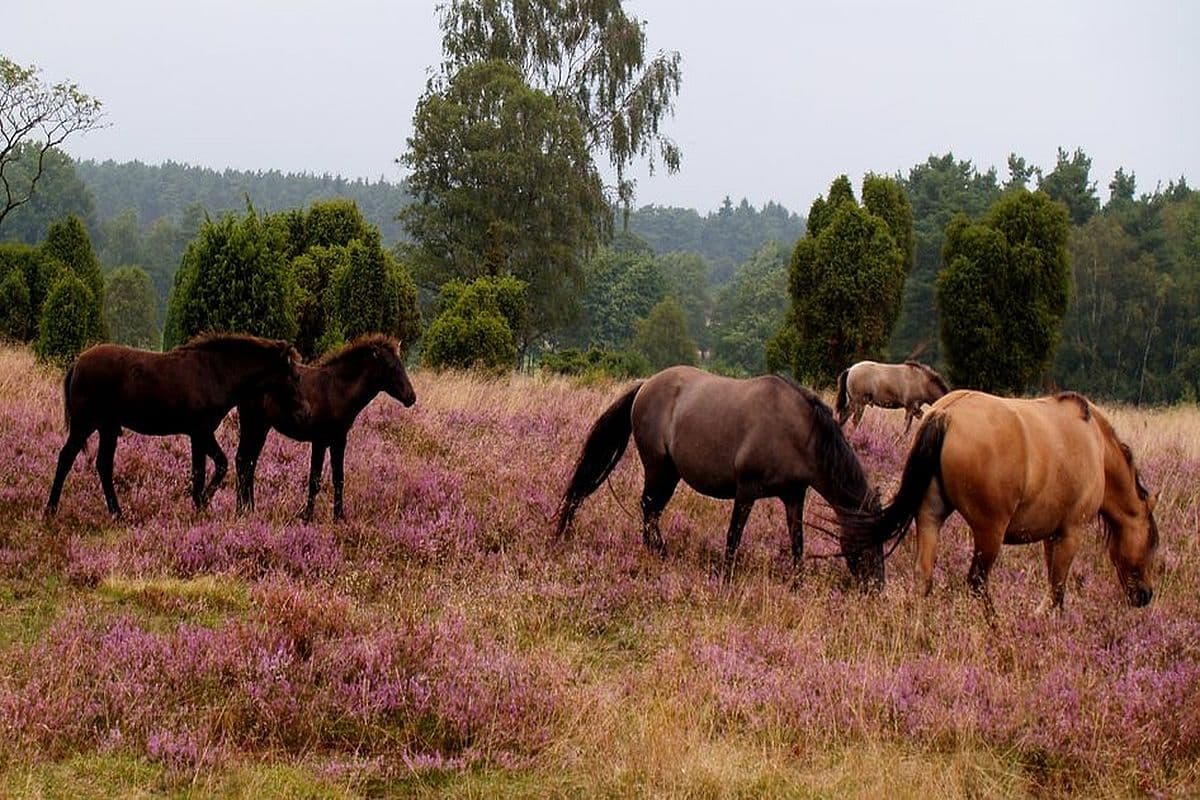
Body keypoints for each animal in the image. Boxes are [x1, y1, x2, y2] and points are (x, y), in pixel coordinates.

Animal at [45, 335, 309, 520]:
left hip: (107, 428)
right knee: (66, 458)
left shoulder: (200, 433)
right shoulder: (201, 431)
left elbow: (206, 468)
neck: (214, 373)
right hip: (84, 424)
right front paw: (202, 502)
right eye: (295, 377)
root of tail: (77, 363)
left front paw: (200, 504)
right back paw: (51, 509)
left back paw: (117, 513)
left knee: (103, 466)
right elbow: (212, 467)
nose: (304, 412)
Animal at [236, 335, 420, 522]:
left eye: (402, 365)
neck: (337, 391)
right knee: (242, 461)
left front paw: (339, 517)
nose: (411, 397)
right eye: (391, 367)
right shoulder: (320, 440)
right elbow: (314, 479)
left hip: (261, 427)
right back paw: (241, 510)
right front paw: (307, 517)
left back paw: (250, 508)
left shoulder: (339, 440)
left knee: (249, 463)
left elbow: (338, 478)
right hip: (251, 423)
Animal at [556, 367, 888, 585]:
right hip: (658, 468)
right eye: (870, 540)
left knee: (651, 511)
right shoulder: (746, 491)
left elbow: (797, 541)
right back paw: (657, 552)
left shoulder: (794, 496)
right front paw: (726, 579)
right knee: (649, 508)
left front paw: (797, 582)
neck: (796, 432)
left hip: (670, 473)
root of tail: (646, 384)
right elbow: (733, 536)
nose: (876, 587)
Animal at [840, 388, 1156, 614]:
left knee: (924, 576)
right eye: (1152, 544)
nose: (1146, 594)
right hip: (990, 530)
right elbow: (1057, 590)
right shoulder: (1070, 533)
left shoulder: (1051, 536)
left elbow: (1053, 586)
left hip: (930, 517)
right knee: (977, 582)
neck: (1097, 449)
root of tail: (945, 414)